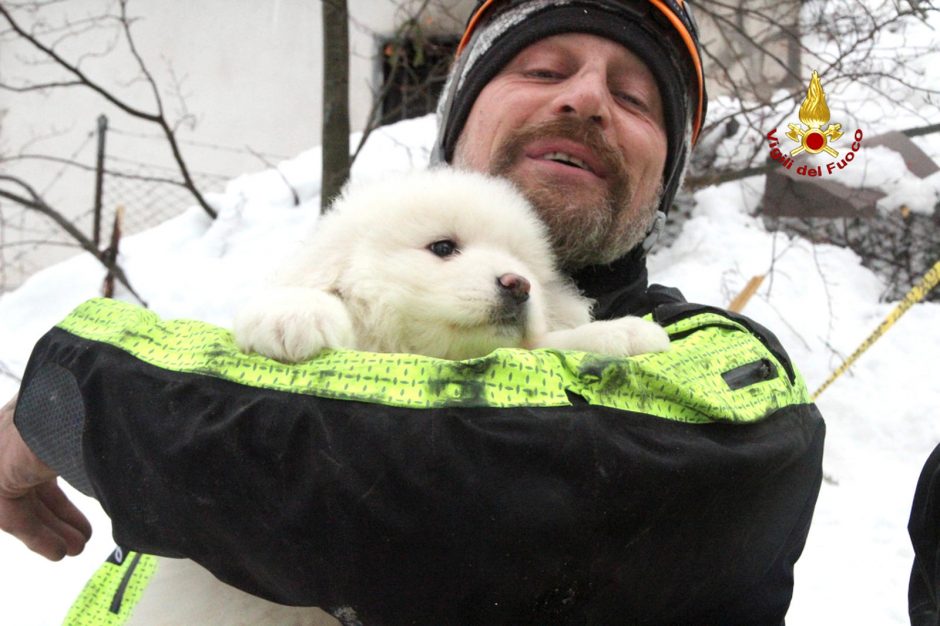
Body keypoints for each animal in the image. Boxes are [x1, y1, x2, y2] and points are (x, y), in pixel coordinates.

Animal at [130, 167, 668, 624]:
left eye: (526, 266)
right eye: (443, 247)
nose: (519, 285)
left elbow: (554, 343)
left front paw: (625, 334)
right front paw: (292, 314)